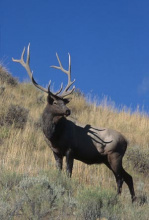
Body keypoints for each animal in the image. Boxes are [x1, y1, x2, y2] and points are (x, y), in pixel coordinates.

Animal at [12, 43, 136, 202]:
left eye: (63, 102)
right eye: (55, 102)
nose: (68, 111)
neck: (54, 135)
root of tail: (126, 141)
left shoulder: (70, 149)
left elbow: (68, 173)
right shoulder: (55, 151)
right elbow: (59, 171)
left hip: (115, 155)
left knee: (120, 178)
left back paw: (116, 198)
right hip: (108, 159)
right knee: (128, 177)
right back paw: (133, 201)